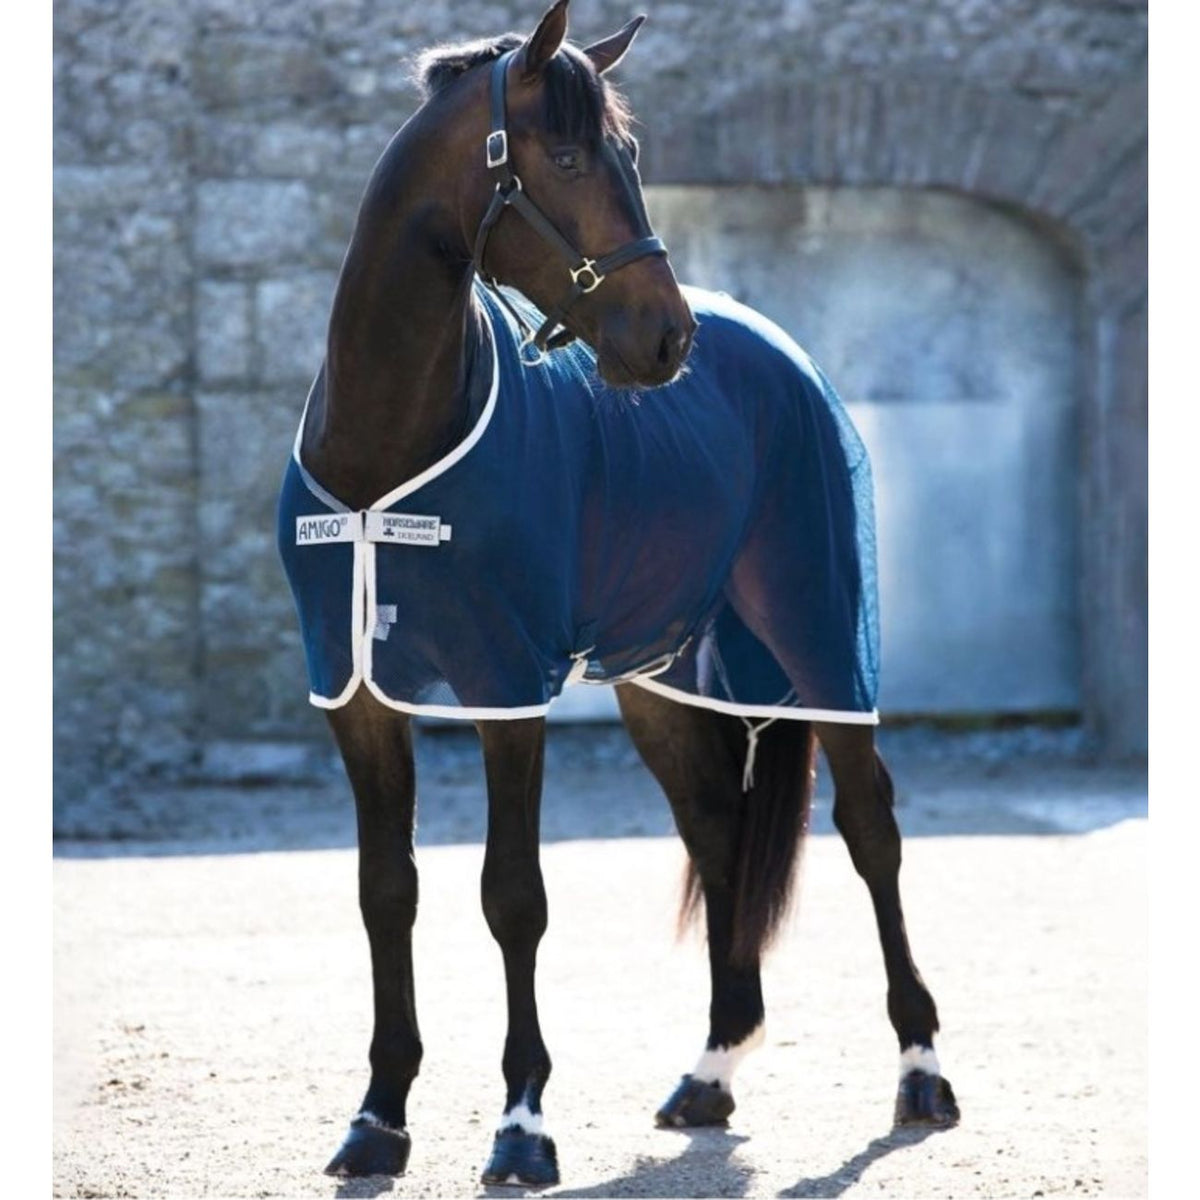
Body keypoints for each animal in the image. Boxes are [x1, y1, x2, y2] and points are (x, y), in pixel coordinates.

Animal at [277, 0, 959, 1185]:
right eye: (561, 158)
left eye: (628, 158)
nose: (666, 336)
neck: (385, 451)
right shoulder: (356, 695)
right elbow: (385, 892)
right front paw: (377, 1120)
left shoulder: (507, 686)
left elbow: (513, 897)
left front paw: (521, 1128)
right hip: (664, 680)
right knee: (718, 832)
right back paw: (710, 1073)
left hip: (826, 639)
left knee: (871, 829)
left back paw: (920, 1074)